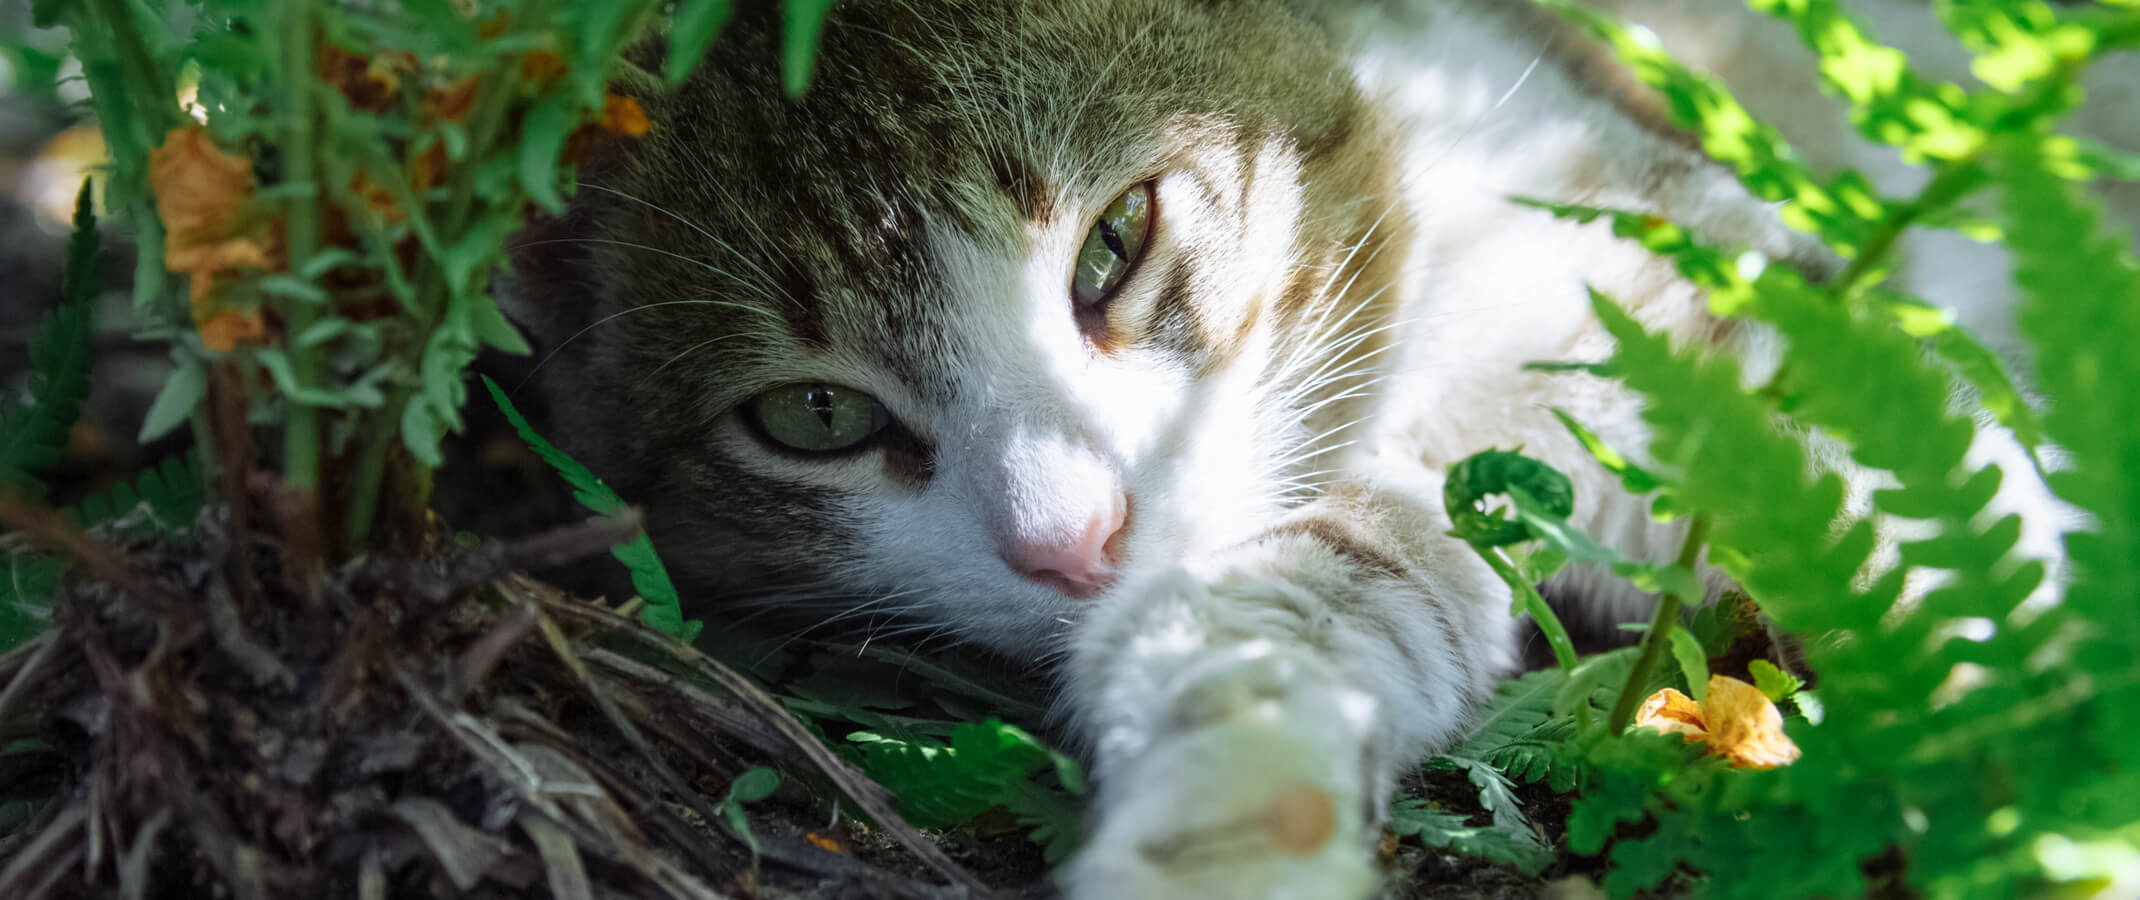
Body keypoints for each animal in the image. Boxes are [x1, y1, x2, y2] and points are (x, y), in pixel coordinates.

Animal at [505, 3, 2088, 893]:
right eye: (814, 418)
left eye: (1117, 242)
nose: (1076, 540)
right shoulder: (1390, 528)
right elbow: (1259, 646)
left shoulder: (1726, 306)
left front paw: (2058, 762)